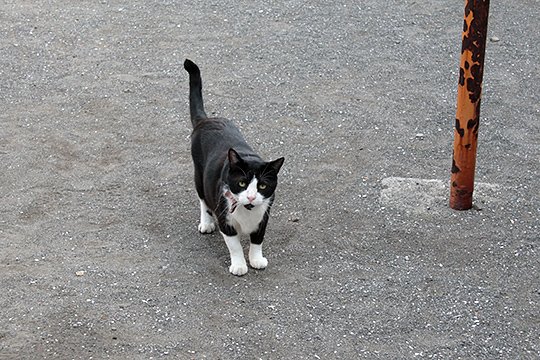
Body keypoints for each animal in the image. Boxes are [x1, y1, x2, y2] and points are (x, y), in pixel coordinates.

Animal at [184, 59, 284, 276]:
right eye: (242, 183)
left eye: (262, 186)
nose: (252, 197)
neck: (247, 210)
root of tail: (207, 120)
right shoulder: (225, 219)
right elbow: (235, 245)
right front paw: (239, 265)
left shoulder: (264, 215)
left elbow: (258, 240)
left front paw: (256, 259)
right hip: (200, 176)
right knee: (203, 200)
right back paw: (206, 223)